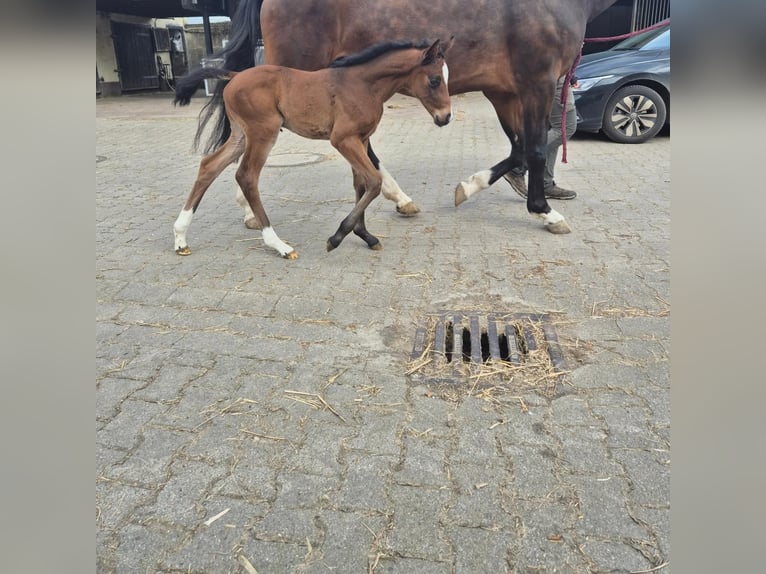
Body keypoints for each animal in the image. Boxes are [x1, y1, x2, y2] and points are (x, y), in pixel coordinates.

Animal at [172, 37, 456, 258]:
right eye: (434, 80)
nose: (446, 117)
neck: (363, 85)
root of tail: (235, 75)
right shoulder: (343, 139)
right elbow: (374, 182)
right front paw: (337, 237)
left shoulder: (361, 139)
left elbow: (361, 184)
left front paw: (366, 235)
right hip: (263, 132)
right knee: (246, 176)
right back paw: (279, 245)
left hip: (241, 135)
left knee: (209, 166)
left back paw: (180, 238)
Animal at [207, 0, 620, 236]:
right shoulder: (537, 82)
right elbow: (533, 147)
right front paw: (544, 212)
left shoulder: (504, 91)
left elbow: (519, 147)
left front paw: (468, 187)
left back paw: (399, 198)